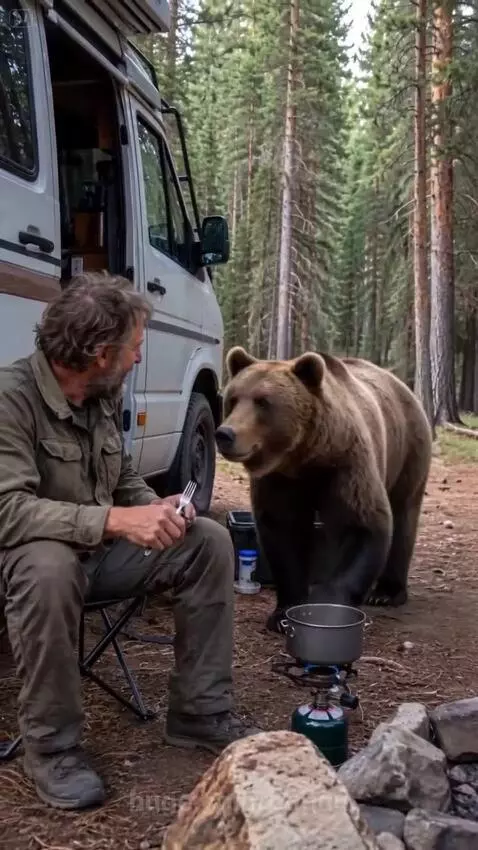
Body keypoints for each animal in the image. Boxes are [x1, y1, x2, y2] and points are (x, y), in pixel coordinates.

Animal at [215, 346, 433, 634]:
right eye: (233, 398)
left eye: (263, 401)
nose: (225, 434)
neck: (305, 458)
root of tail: (402, 385)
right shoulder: (279, 480)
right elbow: (284, 534)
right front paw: (284, 613)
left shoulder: (346, 465)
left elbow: (362, 525)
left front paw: (328, 610)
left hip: (408, 447)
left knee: (403, 514)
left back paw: (387, 592)